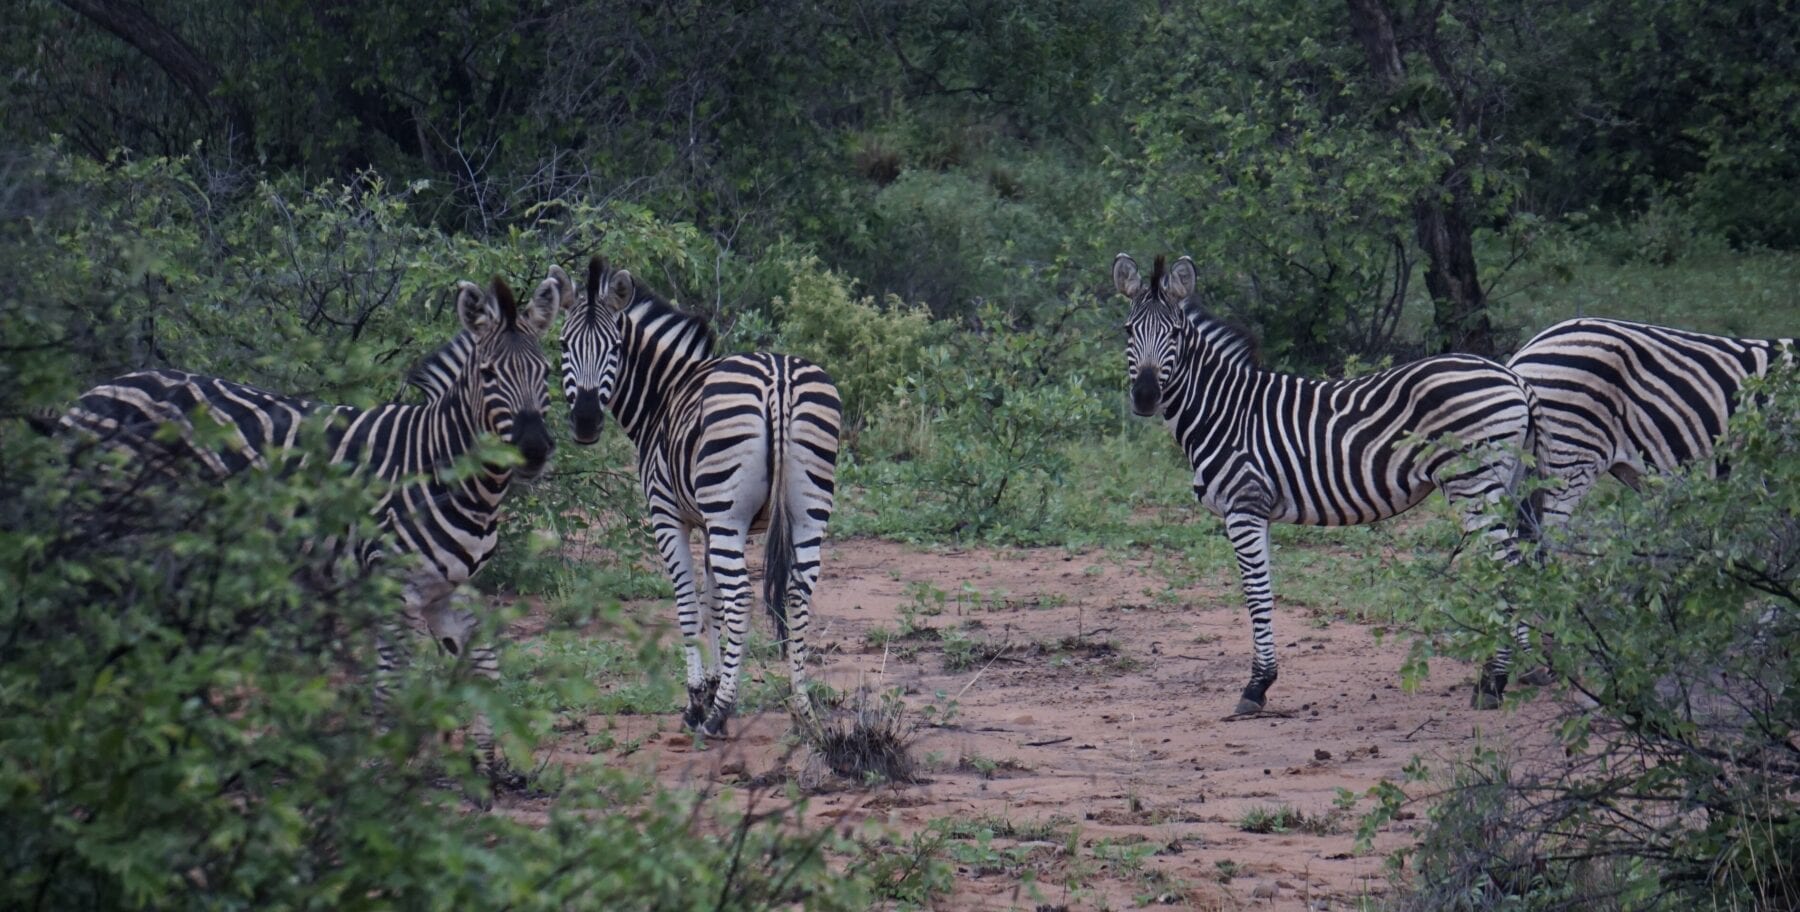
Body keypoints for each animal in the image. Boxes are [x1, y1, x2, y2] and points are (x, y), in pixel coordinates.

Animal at [54, 273, 561, 777]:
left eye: (546, 372)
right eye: (488, 374)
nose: (535, 451)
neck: (444, 468)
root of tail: (94, 392)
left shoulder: (445, 588)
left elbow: (484, 665)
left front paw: (485, 763)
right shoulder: (392, 586)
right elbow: (390, 682)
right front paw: (376, 770)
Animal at [558, 253, 838, 737]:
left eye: (614, 349)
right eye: (563, 346)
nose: (587, 422)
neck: (663, 393)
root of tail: (779, 378)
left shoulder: (670, 515)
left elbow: (689, 602)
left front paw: (698, 700)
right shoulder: (710, 523)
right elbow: (712, 602)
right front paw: (712, 683)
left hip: (729, 512)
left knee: (743, 595)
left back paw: (718, 715)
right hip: (805, 511)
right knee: (797, 593)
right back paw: (802, 710)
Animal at [1116, 255, 1540, 712]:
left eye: (1175, 333)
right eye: (1128, 330)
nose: (1144, 397)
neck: (1223, 410)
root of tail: (1511, 377)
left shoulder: (1244, 504)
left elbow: (1255, 595)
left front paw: (1256, 687)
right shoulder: (1259, 511)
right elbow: (1264, 592)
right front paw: (1263, 679)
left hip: (1474, 483)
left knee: (1507, 569)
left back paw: (1493, 683)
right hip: (1502, 483)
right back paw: (1519, 671)